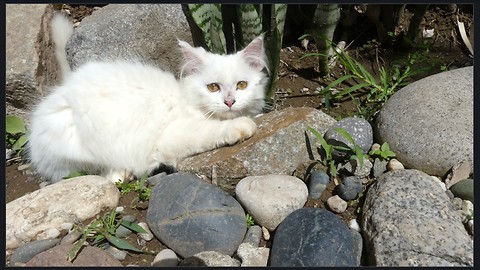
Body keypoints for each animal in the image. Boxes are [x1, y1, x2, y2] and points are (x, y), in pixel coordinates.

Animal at [28, 14, 268, 184]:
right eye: (213, 87)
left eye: (241, 85)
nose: (229, 102)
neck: (185, 97)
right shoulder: (172, 135)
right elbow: (210, 131)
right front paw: (242, 125)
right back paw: (123, 174)